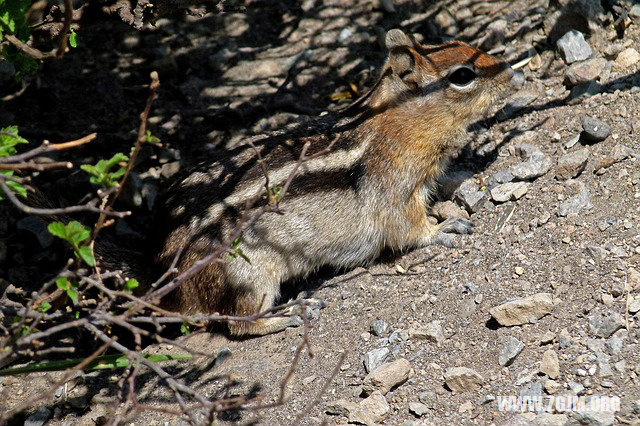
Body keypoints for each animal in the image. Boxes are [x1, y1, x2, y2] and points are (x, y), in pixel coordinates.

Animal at [131, 29, 520, 336]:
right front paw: (443, 228)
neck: (396, 121)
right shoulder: (396, 189)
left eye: (461, 43)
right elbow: (407, 229)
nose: (513, 75)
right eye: (463, 75)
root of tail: (164, 277)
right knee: (238, 323)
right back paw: (287, 314)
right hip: (247, 276)